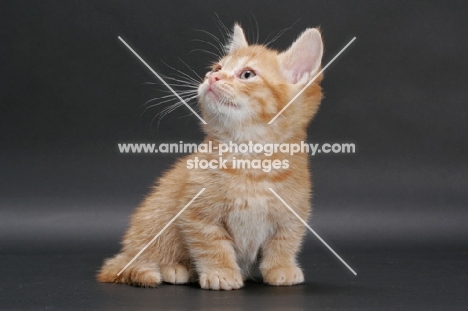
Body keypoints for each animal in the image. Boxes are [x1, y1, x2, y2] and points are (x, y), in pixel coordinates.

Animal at [97, 23, 324, 292]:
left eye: (247, 74)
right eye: (217, 68)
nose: (212, 77)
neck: (250, 162)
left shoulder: (293, 214)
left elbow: (285, 241)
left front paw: (282, 267)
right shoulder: (196, 214)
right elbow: (211, 244)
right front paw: (220, 272)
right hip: (155, 216)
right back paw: (173, 268)